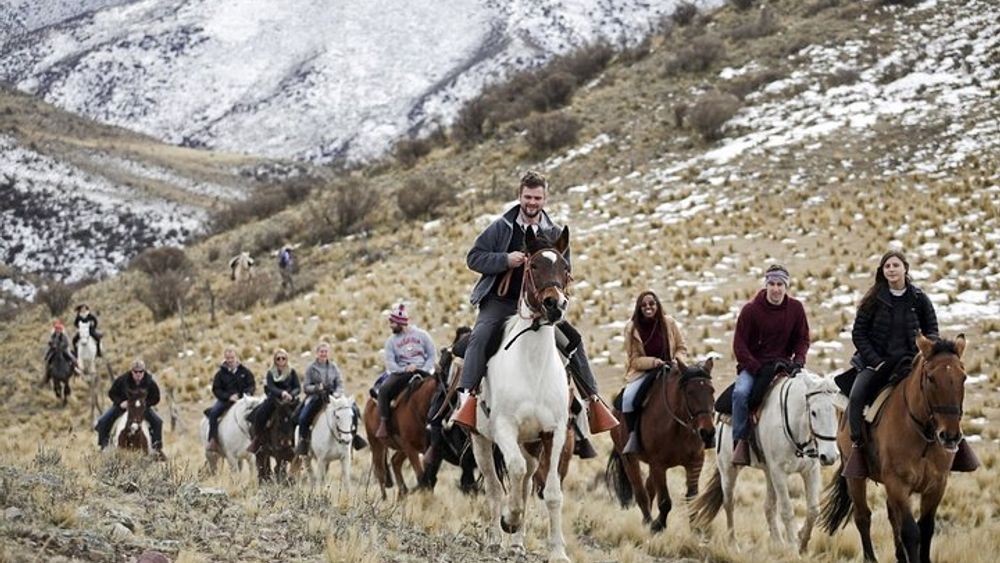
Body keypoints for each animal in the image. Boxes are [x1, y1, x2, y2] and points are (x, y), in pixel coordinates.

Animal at [468, 226, 572, 563]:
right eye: (533, 265)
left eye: (565, 268)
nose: (555, 305)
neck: (533, 367)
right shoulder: (504, 428)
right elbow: (511, 472)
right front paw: (509, 520)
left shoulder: (554, 433)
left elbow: (552, 494)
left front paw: (558, 552)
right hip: (481, 441)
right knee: (494, 487)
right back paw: (496, 539)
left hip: (531, 444)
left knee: (525, 484)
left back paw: (516, 545)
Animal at [604, 362, 716, 532]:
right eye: (690, 392)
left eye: (712, 391)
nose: (708, 433)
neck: (677, 426)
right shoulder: (659, 465)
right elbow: (665, 502)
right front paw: (658, 526)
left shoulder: (695, 463)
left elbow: (692, 498)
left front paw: (695, 530)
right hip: (629, 460)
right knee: (640, 492)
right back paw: (648, 521)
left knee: (648, 488)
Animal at [696, 370, 844, 556]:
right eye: (814, 413)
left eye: (836, 411)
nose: (830, 456)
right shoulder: (779, 472)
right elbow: (787, 511)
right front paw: (793, 549)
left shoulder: (810, 471)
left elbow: (813, 510)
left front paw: (802, 542)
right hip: (729, 470)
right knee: (729, 504)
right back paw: (733, 545)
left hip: (768, 473)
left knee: (768, 506)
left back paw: (778, 543)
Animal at [820, 334, 968, 563]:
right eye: (931, 378)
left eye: (964, 378)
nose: (950, 436)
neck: (923, 436)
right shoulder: (898, 484)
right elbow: (910, 531)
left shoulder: (936, 486)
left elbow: (926, 528)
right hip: (855, 476)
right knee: (863, 517)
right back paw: (871, 558)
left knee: (891, 515)